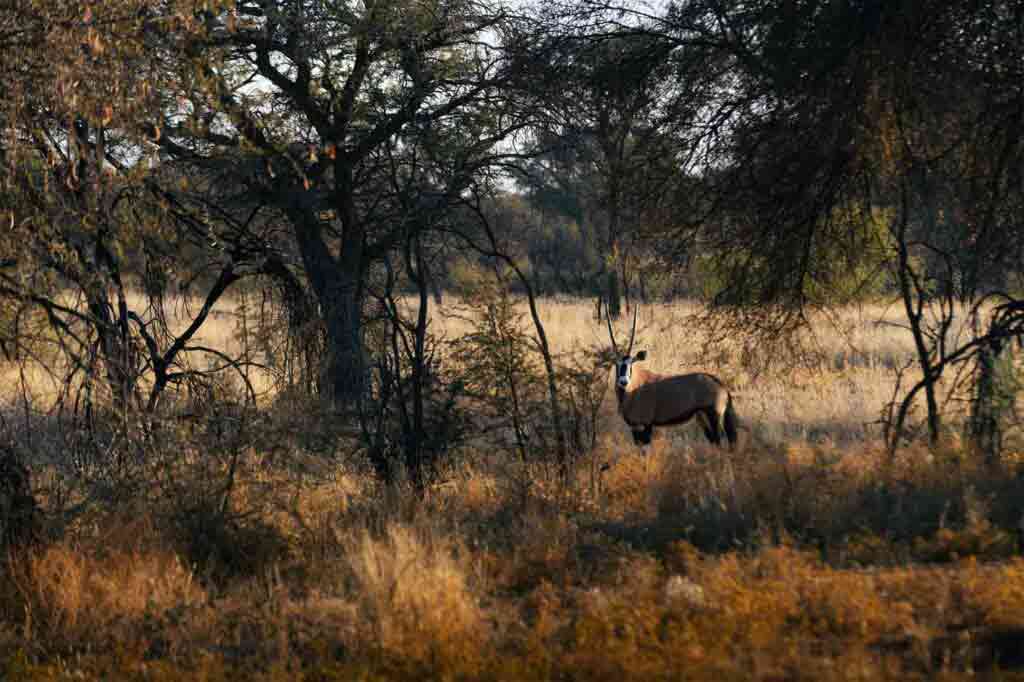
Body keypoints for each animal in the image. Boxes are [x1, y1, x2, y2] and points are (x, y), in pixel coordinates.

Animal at [602, 307, 741, 446]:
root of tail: (721, 385)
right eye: (616, 364)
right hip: (702, 418)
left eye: (631, 363)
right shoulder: (634, 428)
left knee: (719, 440)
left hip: (714, 417)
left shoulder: (646, 425)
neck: (633, 388)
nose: (623, 381)